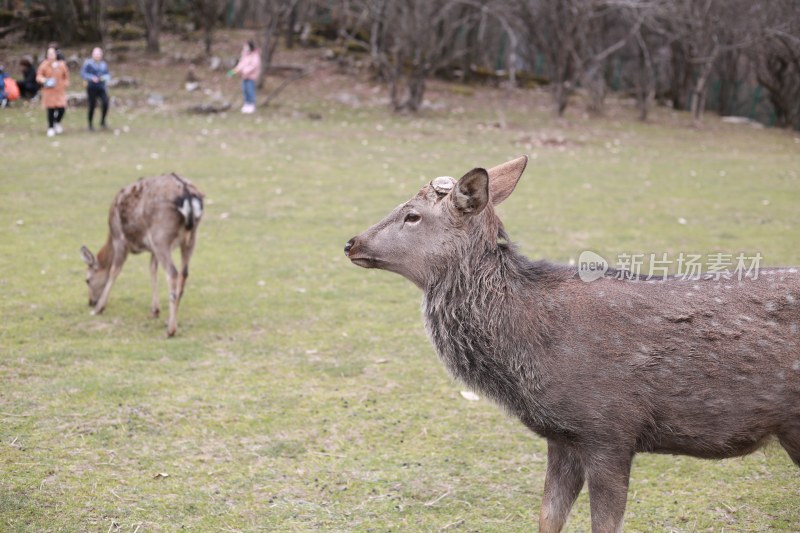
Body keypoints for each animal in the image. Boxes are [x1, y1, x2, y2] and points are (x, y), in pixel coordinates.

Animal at [80, 172, 205, 334]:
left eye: (87, 280)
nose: (91, 302)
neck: (110, 235)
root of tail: (186, 193)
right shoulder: (152, 248)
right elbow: (152, 269)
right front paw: (155, 311)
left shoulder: (120, 239)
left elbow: (114, 270)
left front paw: (99, 309)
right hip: (190, 238)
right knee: (184, 273)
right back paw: (170, 322)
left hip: (161, 237)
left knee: (172, 273)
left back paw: (170, 330)